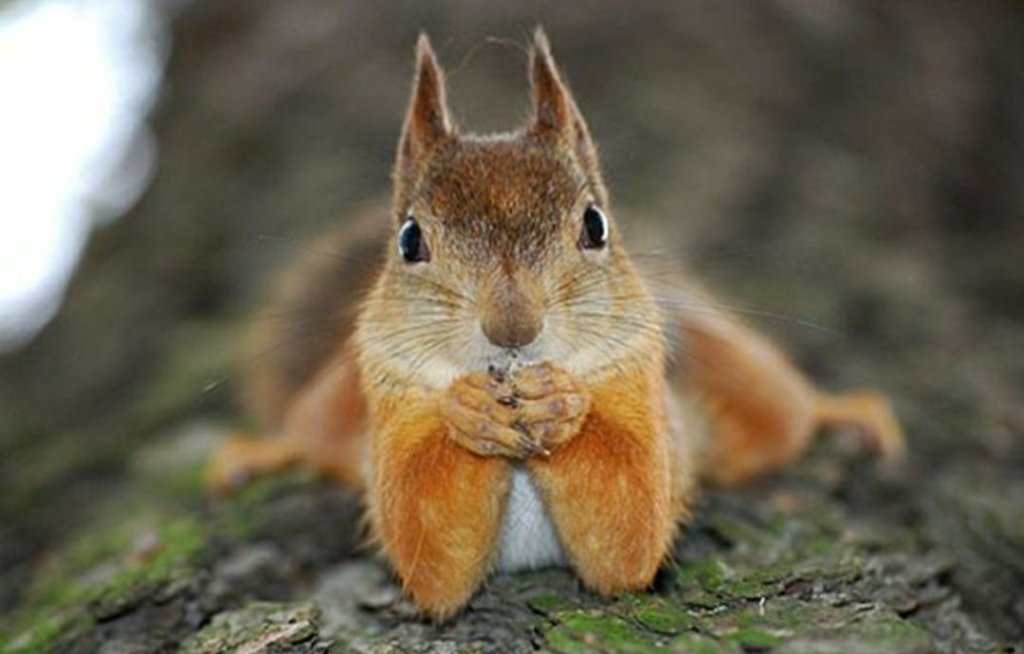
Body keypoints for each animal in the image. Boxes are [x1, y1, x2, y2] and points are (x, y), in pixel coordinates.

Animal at [207, 28, 905, 620]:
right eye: (408, 239)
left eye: (595, 225)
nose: (512, 327)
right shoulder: (390, 397)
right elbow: (428, 550)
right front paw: (468, 411)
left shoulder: (644, 392)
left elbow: (631, 526)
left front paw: (561, 404)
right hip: (335, 403)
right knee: (310, 434)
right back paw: (257, 454)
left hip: (731, 371)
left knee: (784, 413)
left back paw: (847, 412)